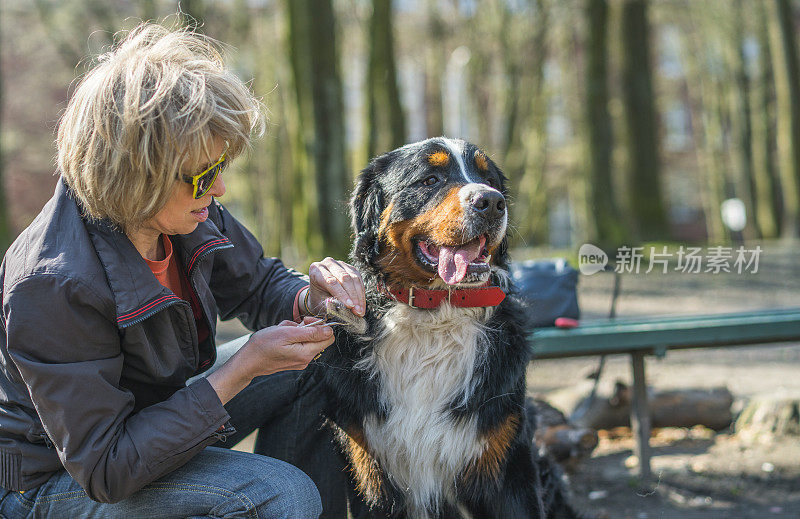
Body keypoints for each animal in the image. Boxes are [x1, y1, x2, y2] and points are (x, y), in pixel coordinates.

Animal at [312, 138, 580, 519]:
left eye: (489, 180)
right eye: (430, 179)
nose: (491, 202)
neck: (437, 312)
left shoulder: (506, 466)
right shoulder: (371, 476)